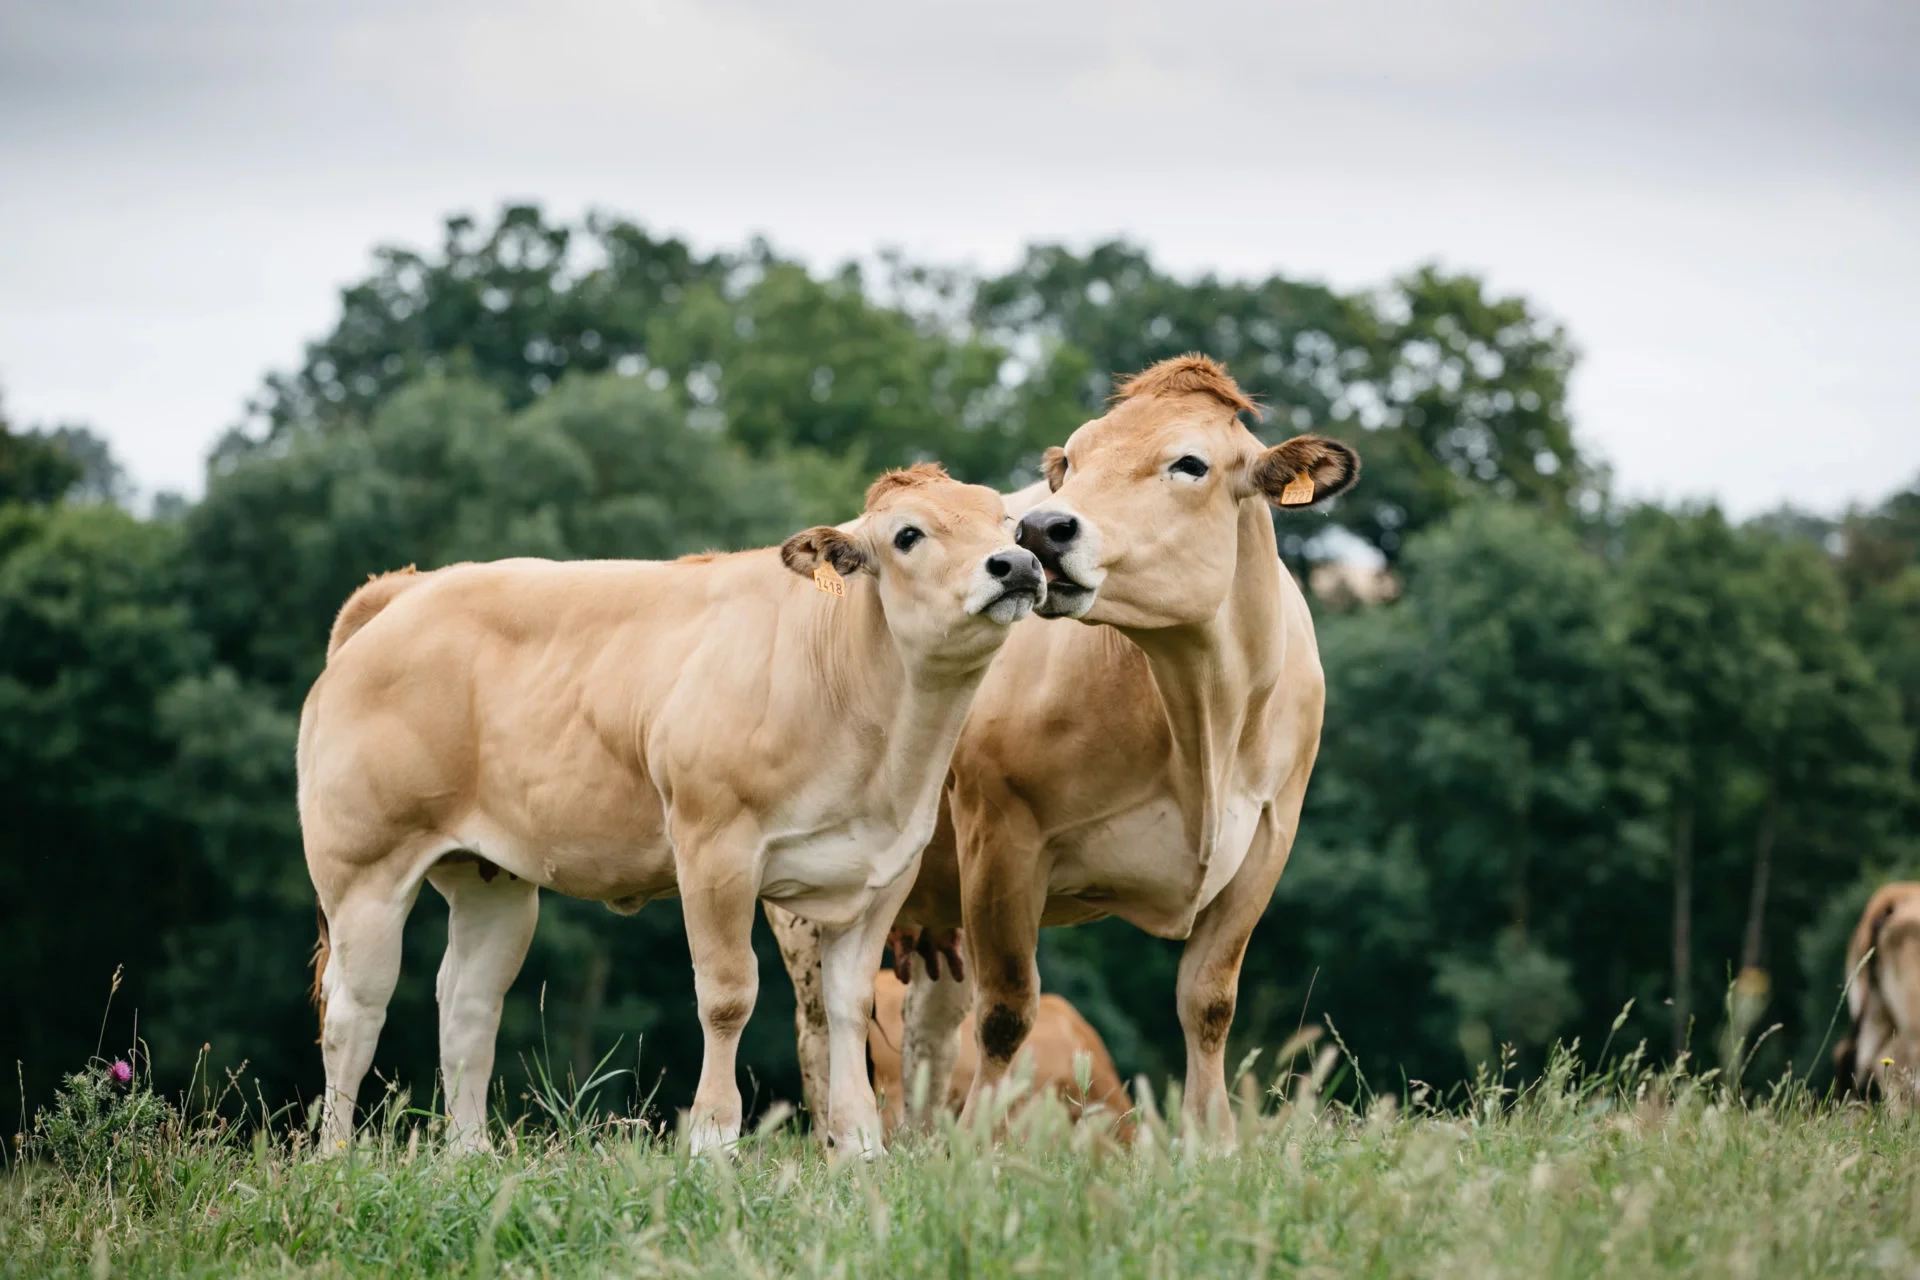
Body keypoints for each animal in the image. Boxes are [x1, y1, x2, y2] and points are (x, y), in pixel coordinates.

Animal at [299, 463, 1044, 1158]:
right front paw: (713, 1140)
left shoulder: (883, 873)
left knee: (467, 1005)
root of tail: (408, 589)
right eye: (908, 535)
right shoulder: (715, 851)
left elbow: (849, 1006)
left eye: (1010, 527)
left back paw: (472, 1154)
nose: (1016, 564)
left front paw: (862, 1146)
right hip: (363, 872)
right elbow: (727, 995)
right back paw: (337, 1158)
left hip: (492, 879)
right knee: (353, 1011)